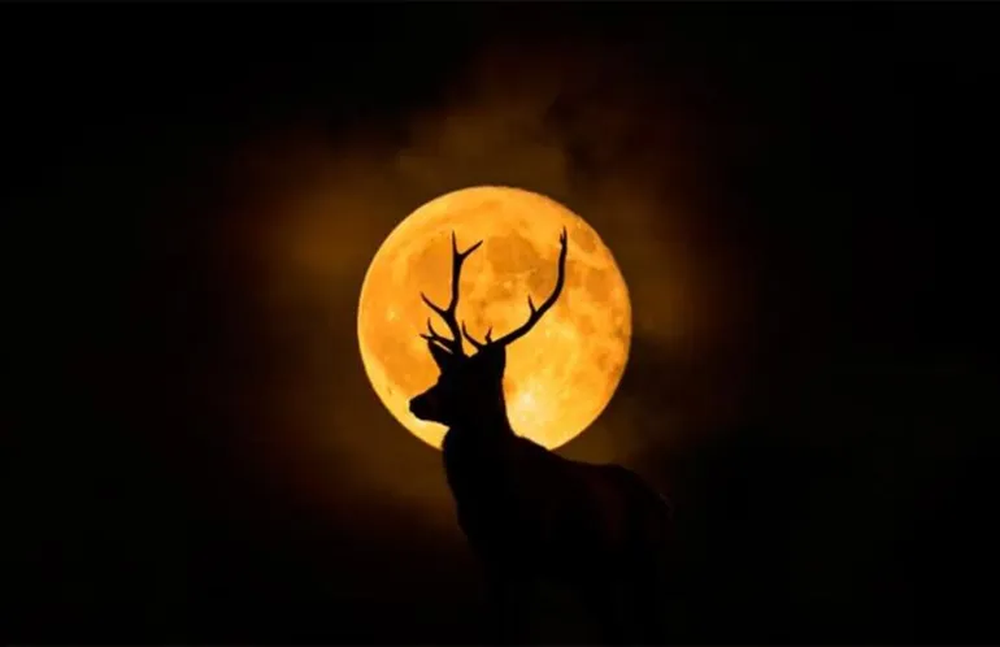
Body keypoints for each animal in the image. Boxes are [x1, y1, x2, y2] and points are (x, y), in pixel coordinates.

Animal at [408, 229, 675, 643]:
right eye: (441, 374)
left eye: (468, 380)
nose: (416, 402)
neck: (487, 493)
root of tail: (662, 502)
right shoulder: (488, 556)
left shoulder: (527, 554)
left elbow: (519, 627)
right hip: (595, 578)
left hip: (647, 565)